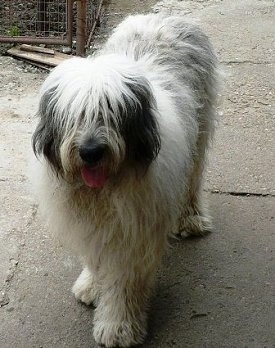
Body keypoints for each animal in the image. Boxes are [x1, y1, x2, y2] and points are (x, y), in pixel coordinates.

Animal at [33, 12, 220, 346]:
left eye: (111, 111)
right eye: (75, 115)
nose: (91, 151)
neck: (105, 188)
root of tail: (166, 14)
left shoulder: (136, 230)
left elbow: (124, 280)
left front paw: (118, 325)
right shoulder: (94, 224)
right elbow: (96, 257)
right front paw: (91, 284)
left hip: (200, 129)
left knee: (193, 178)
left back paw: (191, 218)